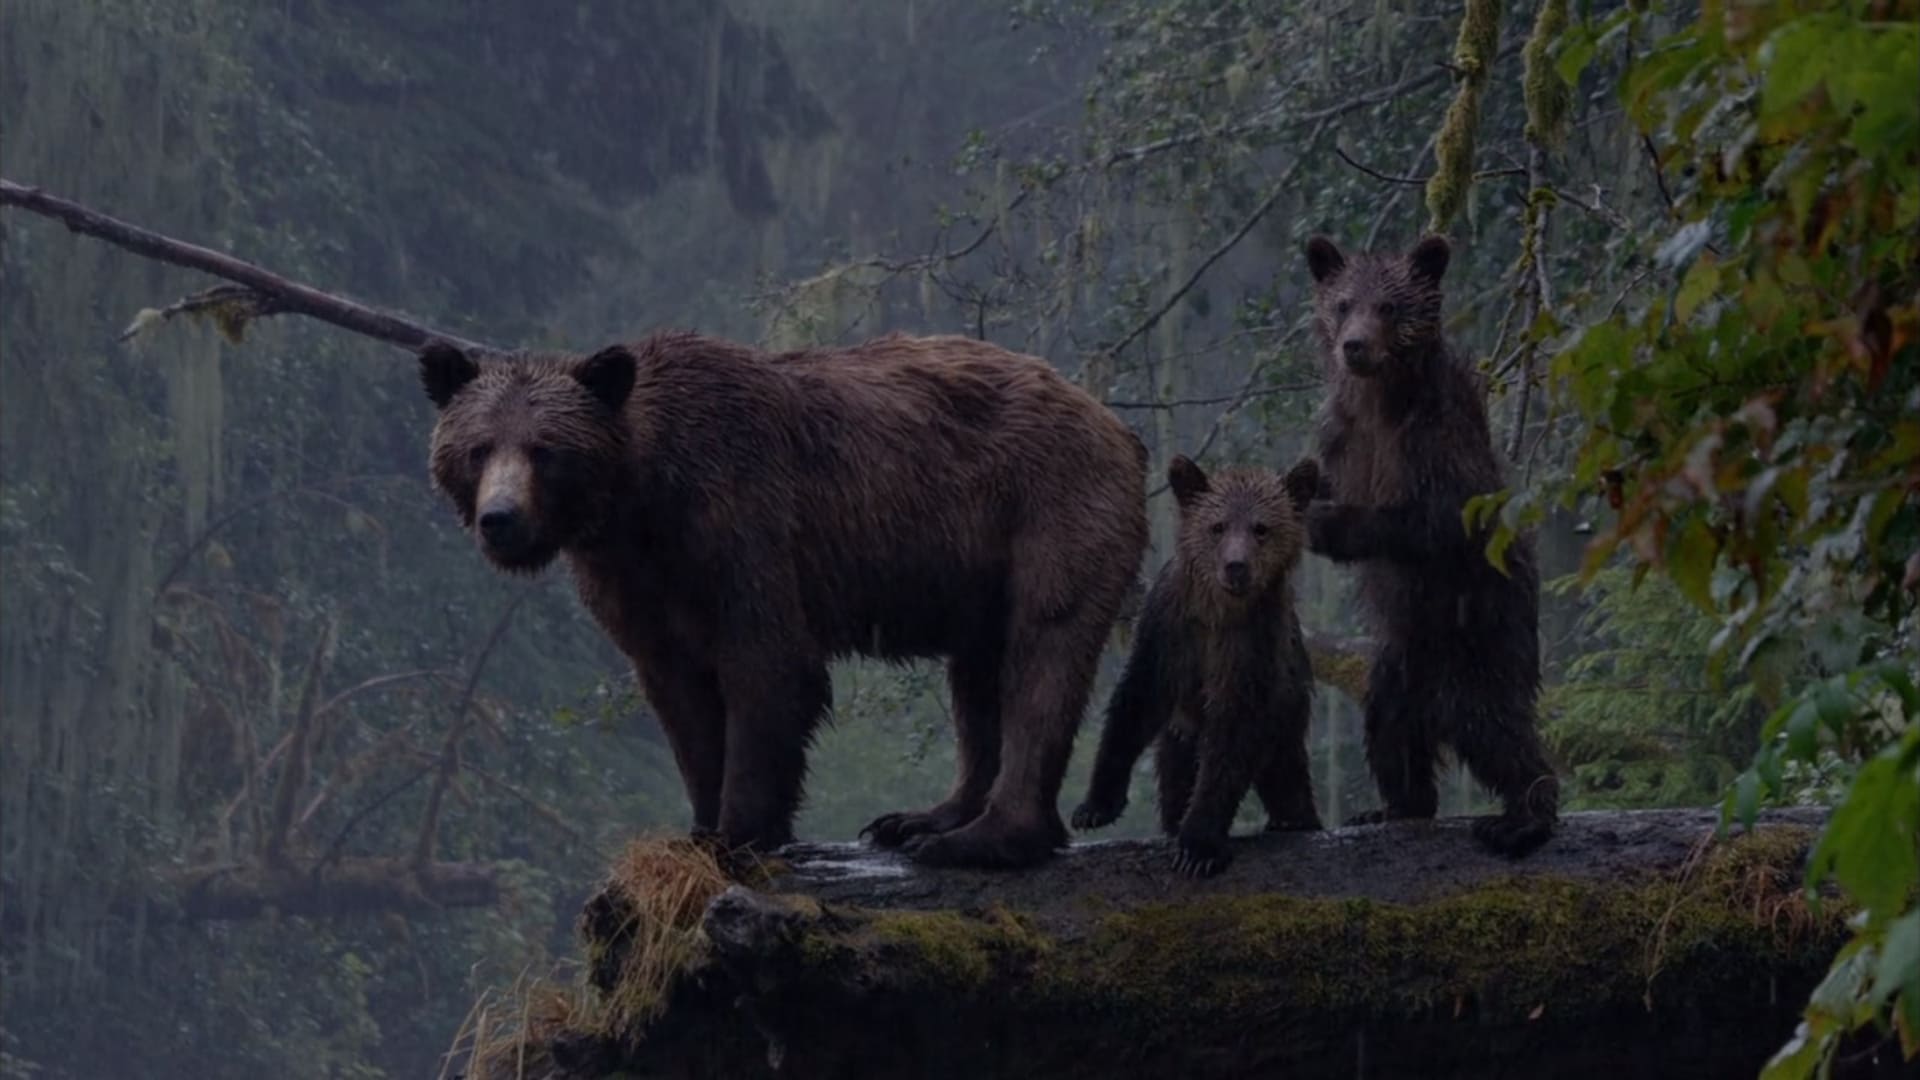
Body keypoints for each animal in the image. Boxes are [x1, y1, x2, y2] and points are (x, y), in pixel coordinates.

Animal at [417, 329, 1149, 869]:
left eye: (545, 450)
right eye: (479, 447)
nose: (501, 519)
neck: (641, 500)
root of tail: (1109, 418)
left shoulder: (742, 524)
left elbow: (767, 667)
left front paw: (740, 828)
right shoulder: (635, 582)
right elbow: (681, 695)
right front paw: (701, 820)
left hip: (1046, 506)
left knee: (1043, 652)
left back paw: (981, 837)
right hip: (977, 570)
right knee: (978, 677)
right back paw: (923, 817)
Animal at [1070, 454, 1323, 878]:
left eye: (1261, 528)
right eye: (1217, 526)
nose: (1236, 566)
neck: (1217, 614)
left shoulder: (1251, 649)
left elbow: (1231, 739)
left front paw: (1198, 847)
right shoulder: (1167, 630)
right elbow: (1133, 705)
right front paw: (1094, 807)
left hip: (1288, 712)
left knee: (1286, 774)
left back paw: (1293, 819)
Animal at [1300, 233, 1559, 857]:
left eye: (1389, 306)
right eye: (1343, 303)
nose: (1355, 346)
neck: (1381, 399)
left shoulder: (1434, 441)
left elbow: (1433, 521)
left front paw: (1324, 521)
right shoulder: (1341, 435)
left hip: (1481, 638)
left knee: (1494, 727)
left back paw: (1521, 818)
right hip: (1399, 661)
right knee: (1390, 728)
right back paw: (1393, 804)